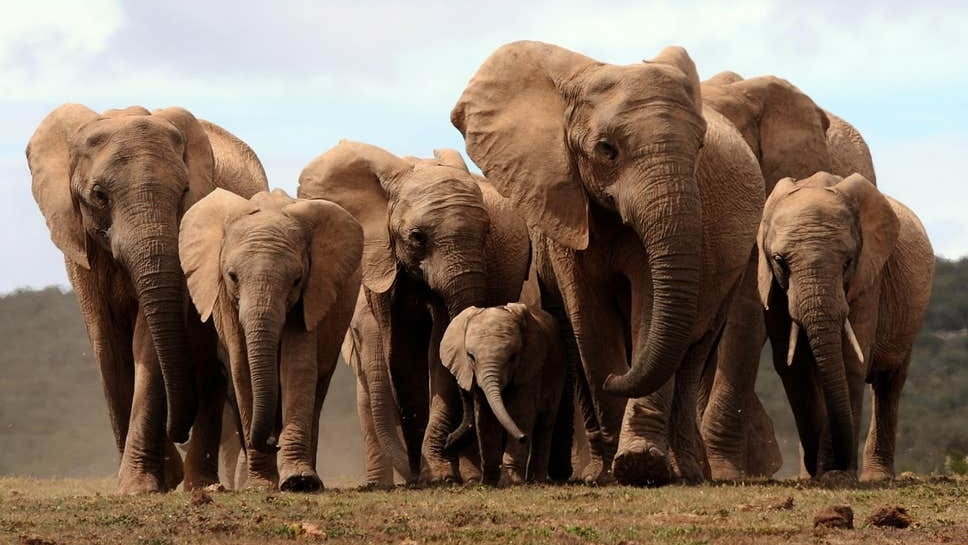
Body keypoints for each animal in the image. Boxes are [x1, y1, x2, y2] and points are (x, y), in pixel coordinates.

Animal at [26, 104, 268, 493]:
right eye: (99, 195)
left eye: (185, 191)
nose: (177, 432)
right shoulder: (80, 244)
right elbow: (106, 343)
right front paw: (152, 480)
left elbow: (148, 341)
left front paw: (143, 484)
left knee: (207, 367)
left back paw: (199, 484)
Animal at [179, 188, 363, 491]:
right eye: (232, 276)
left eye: (297, 279)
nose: (271, 442)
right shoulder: (225, 301)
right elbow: (242, 370)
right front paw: (262, 485)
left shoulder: (311, 293)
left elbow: (297, 366)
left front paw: (300, 482)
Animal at [298, 142, 547, 484]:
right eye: (417, 237)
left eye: (486, 233)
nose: (452, 442)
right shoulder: (382, 260)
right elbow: (401, 352)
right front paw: (424, 475)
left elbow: (439, 350)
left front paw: (438, 473)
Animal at [440, 303, 565, 486]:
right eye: (471, 357)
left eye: (513, 357)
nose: (447, 441)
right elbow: (485, 419)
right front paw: (488, 483)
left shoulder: (529, 368)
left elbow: (520, 413)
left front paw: (511, 483)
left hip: (556, 372)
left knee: (545, 423)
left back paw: (537, 481)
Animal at [757, 172, 933, 482]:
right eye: (780, 261)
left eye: (848, 261)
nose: (821, 467)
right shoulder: (772, 285)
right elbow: (793, 366)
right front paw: (817, 475)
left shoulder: (869, 278)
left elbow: (851, 359)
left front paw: (836, 475)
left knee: (889, 384)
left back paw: (877, 477)